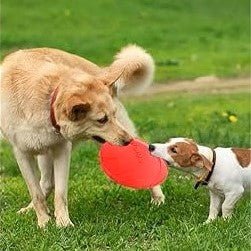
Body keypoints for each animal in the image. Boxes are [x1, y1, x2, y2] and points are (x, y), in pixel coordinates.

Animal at [0, 45, 165, 227]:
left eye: (112, 115)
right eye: (102, 120)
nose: (128, 140)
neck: (48, 101)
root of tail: (99, 71)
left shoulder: (62, 150)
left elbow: (60, 193)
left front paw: (63, 224)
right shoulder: (22, 154)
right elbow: (36, 193)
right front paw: (44, 222)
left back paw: (158, 198)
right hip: (44, 153)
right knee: (46, 183)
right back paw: (30, 209)